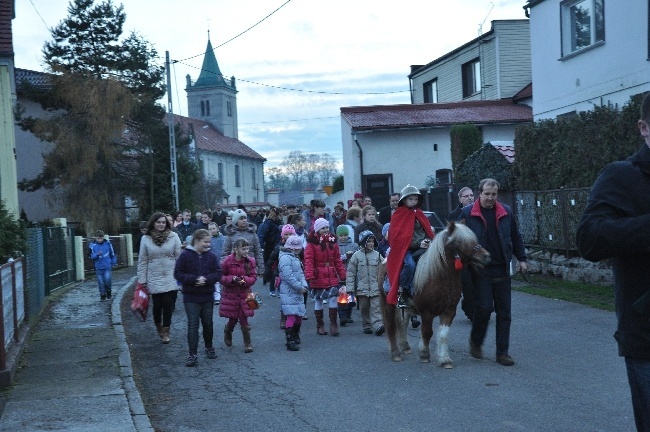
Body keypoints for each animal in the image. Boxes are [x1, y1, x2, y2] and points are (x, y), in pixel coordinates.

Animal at [378, 223, 488, 368]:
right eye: (459, 241)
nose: (486, 256)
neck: (439, 275)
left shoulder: (449, 310)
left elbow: (443, 335)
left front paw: (445, 359)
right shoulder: (427, 312)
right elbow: (427, 332)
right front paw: (424, 354)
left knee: (403, 322)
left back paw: (405, 347)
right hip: (388, 304)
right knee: (391, 326)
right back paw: (396, 353)